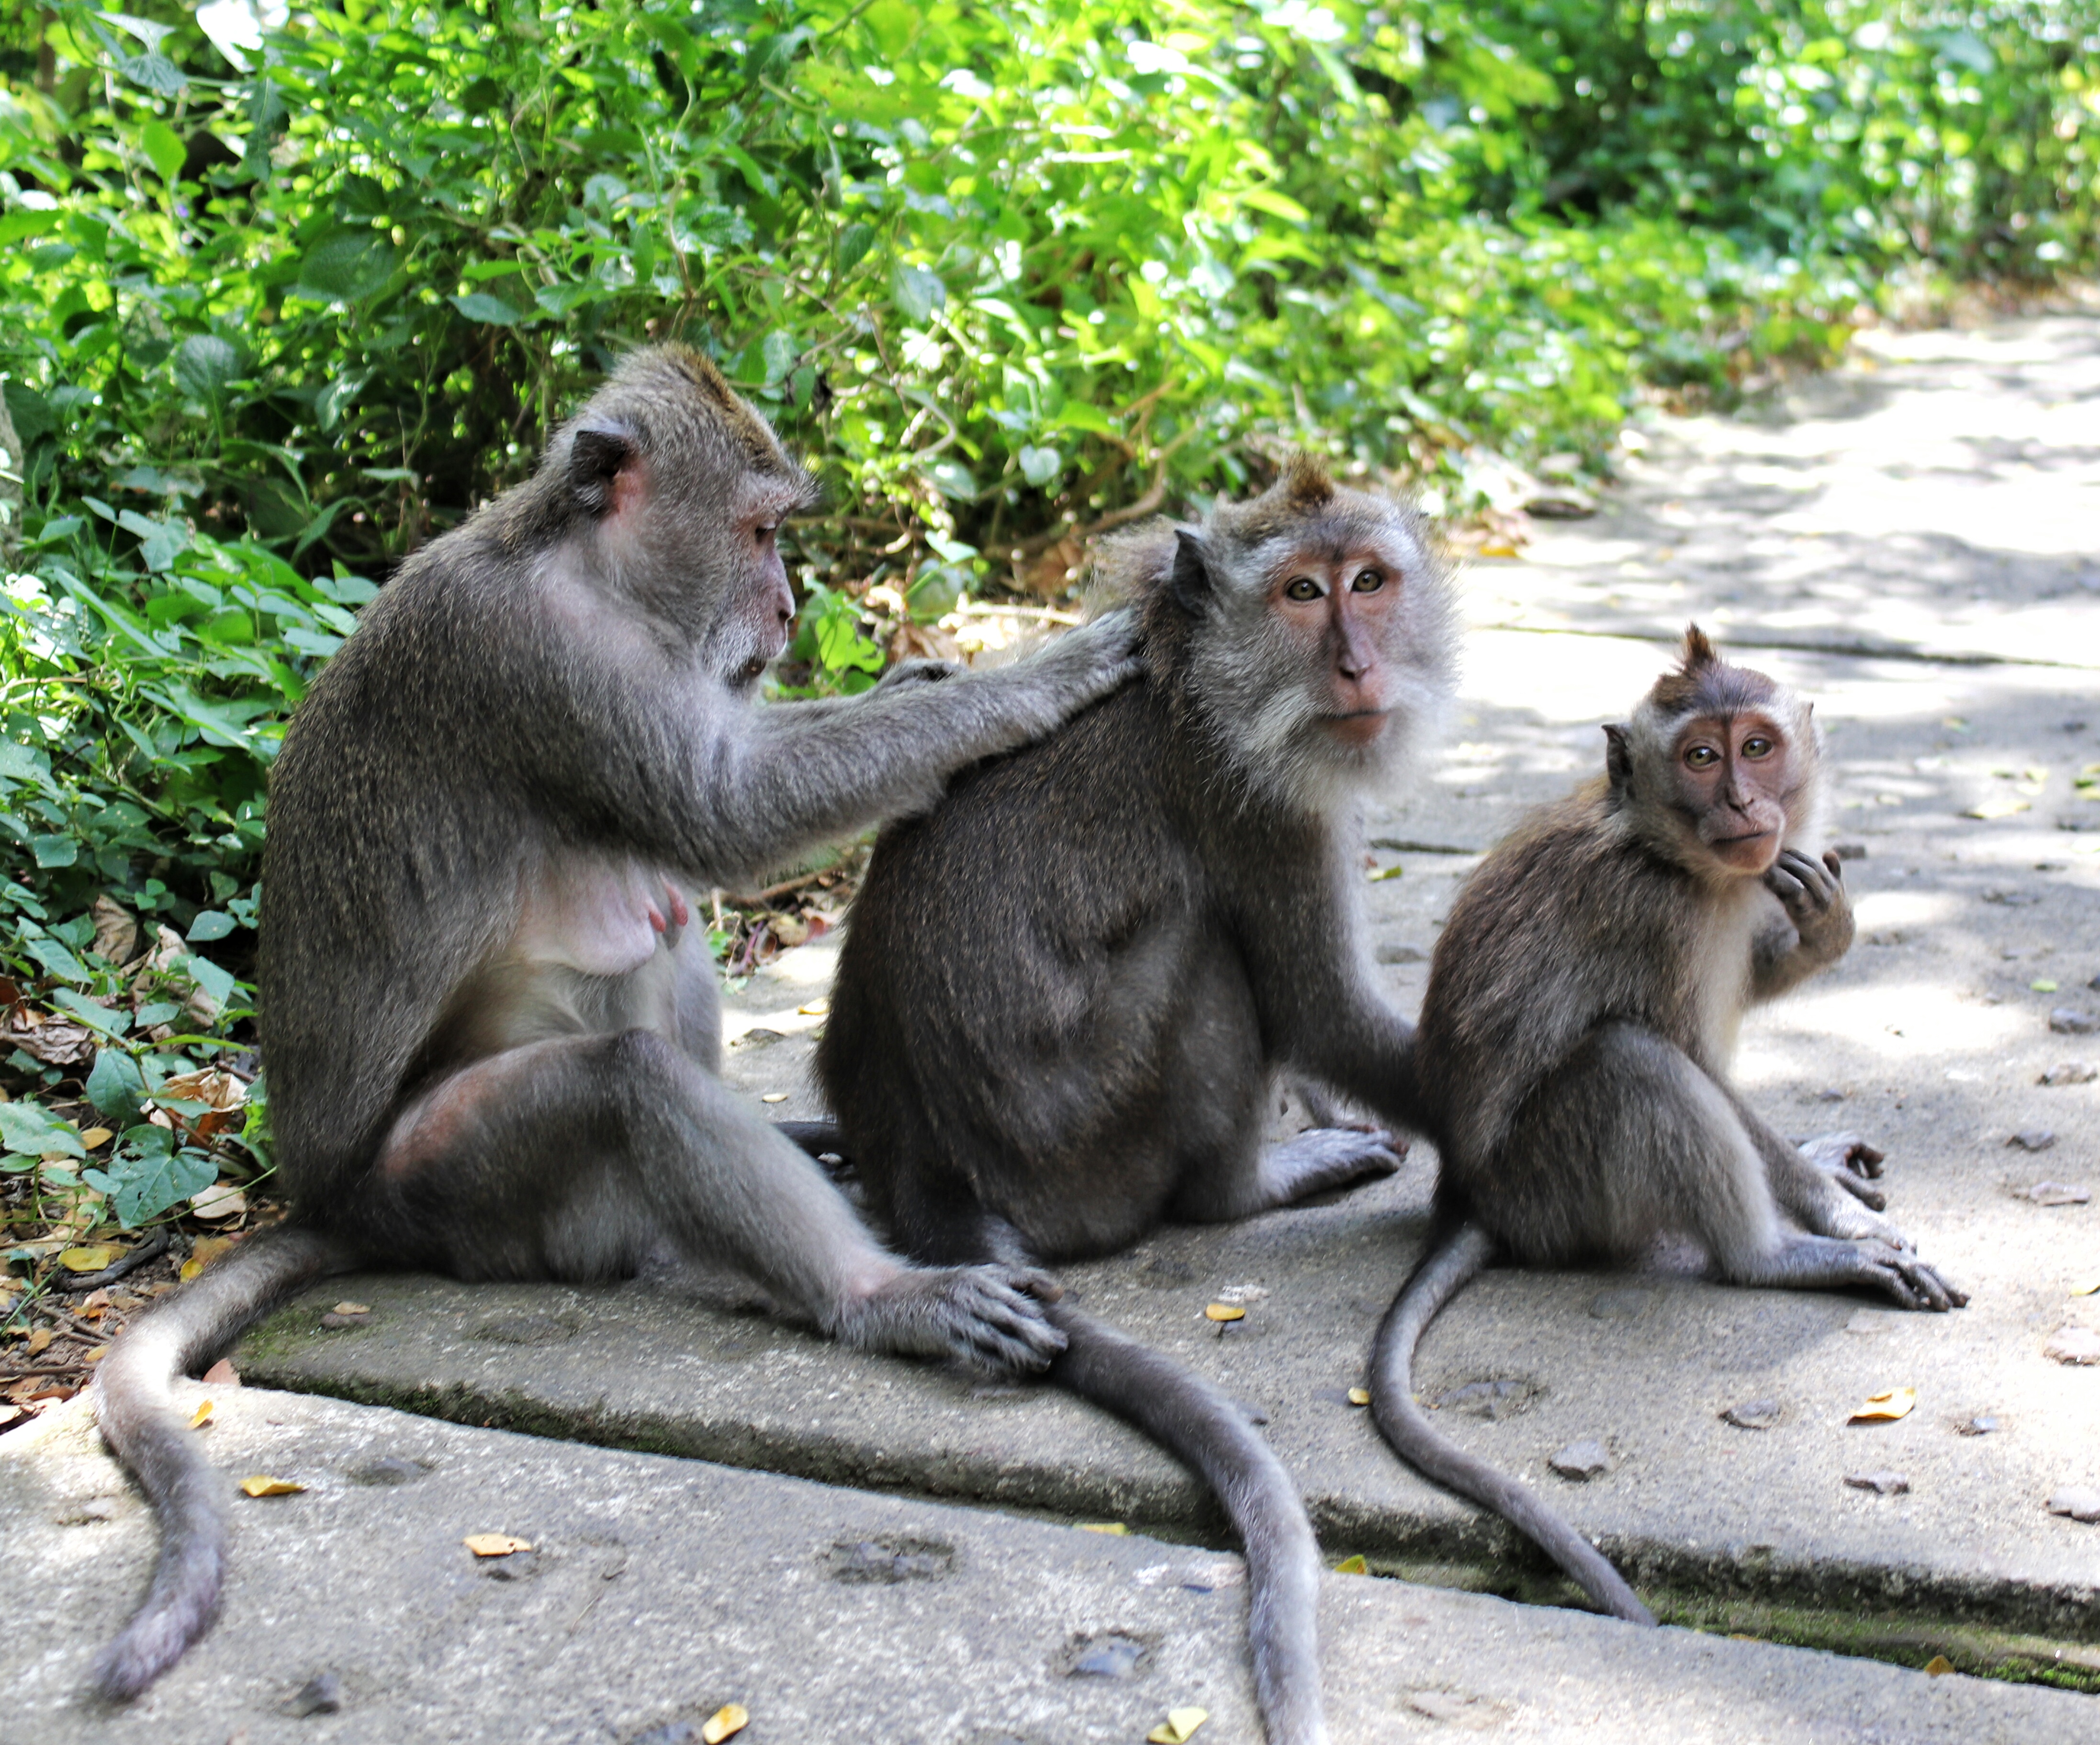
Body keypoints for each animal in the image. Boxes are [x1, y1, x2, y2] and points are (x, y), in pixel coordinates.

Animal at [90, 344, 1146, 1701]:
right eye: (760, 531)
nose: (791, 610)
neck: (584, 566)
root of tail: (332, 1198)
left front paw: (921, 677)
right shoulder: (547, 666)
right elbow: (728, 811)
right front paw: (1041, 676)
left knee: (660, 914)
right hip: (448, 1178)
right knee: (624, 1071)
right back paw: (876, 1296)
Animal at [815, 458, 1459, 1745]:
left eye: (1369, 580)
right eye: (1303, 592)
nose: (1357, 665)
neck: (1198, 675)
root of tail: (920, 1160)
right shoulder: (1255, 803)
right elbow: (1318, 1006)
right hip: (1089, 1140)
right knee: (1205, 942)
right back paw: (1249, 1186)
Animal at [1370, 626, 1966, 1625]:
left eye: (1756, 747)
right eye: (1699, 758)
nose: (1741, 800)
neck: (1668, 851)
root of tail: (1471, 1197)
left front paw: (1825, 932)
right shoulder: (1652, 913)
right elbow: (1691, 1062)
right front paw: (1847, 1222)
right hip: (1554, 1188)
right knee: (1635, 1061)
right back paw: (1774, 1257)